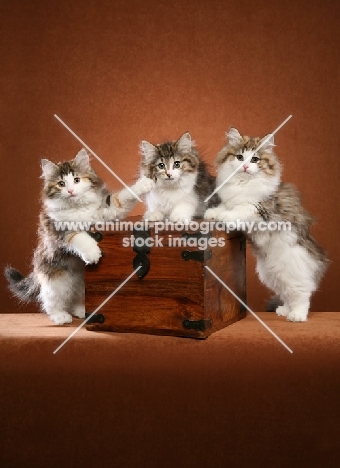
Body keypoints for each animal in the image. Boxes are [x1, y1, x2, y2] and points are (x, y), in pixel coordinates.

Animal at [4, 148, 154, 324]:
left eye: (76, 180)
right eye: (61, 184)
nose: (70, 191)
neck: (78, 208)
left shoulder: (106, 213)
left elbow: (120, 198)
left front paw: (144, 184)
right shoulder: (60, 231)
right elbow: (80, 238)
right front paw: (93, 253)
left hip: (81, 284)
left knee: (75, 298)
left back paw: (81, 311)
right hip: (57, 280)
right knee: (50, 301)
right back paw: (60, 316)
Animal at [203, 127, 328, 322]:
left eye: (255, 159)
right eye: (240, 157)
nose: (246, 167)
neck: (243, 184)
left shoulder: (261, 210)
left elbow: (239, 210)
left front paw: (224, 216)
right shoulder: (232, 200)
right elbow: (226, 205)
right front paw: (212, 213)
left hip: (293, 271)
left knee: (302, 294)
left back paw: (296, 316)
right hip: (271, 274)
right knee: (286, 294)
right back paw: (284, 310)